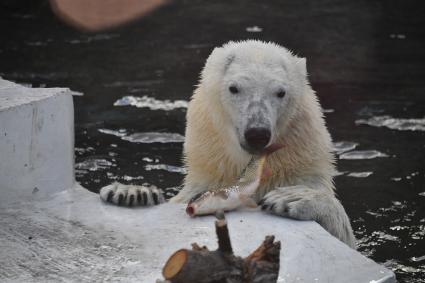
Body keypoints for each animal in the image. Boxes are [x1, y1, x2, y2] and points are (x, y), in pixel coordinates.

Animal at [101, 39, 356, 248]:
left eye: (281, 92)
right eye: (234, 88)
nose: (257, 133)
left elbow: (344, 236)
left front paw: (294, 198)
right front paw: (131, 193)